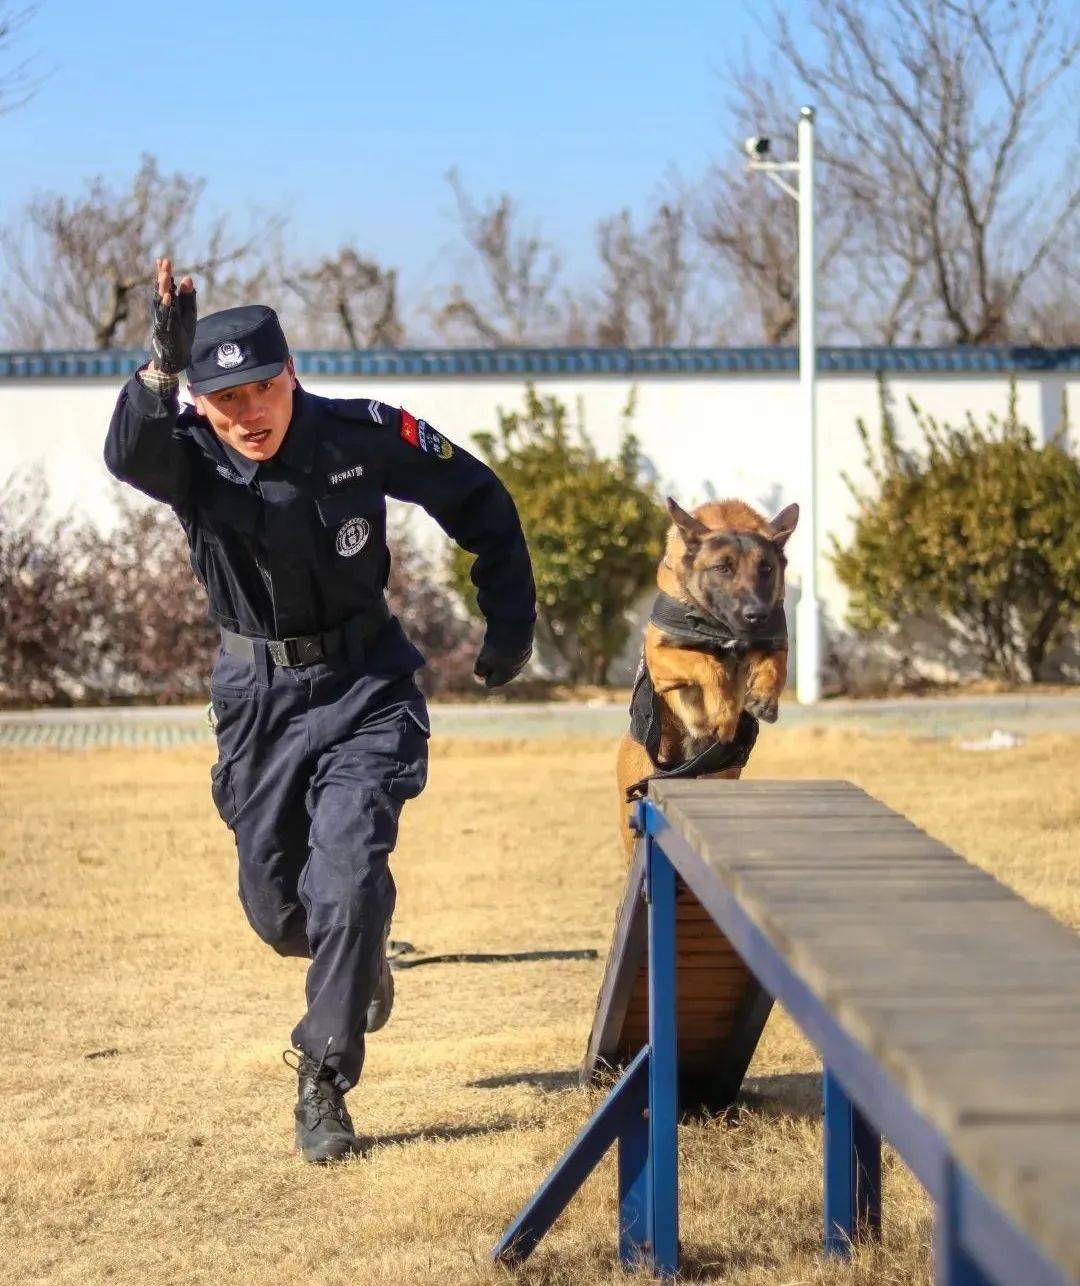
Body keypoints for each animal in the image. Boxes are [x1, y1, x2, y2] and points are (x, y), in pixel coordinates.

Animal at [617, 493, 792, 853]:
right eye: (722, 568)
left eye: (766, 569)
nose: (756, 615)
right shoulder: (661, 656)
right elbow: (708, 665)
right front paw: (723, 712)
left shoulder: (775, 641)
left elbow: (775, 664)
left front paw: (763, 698)